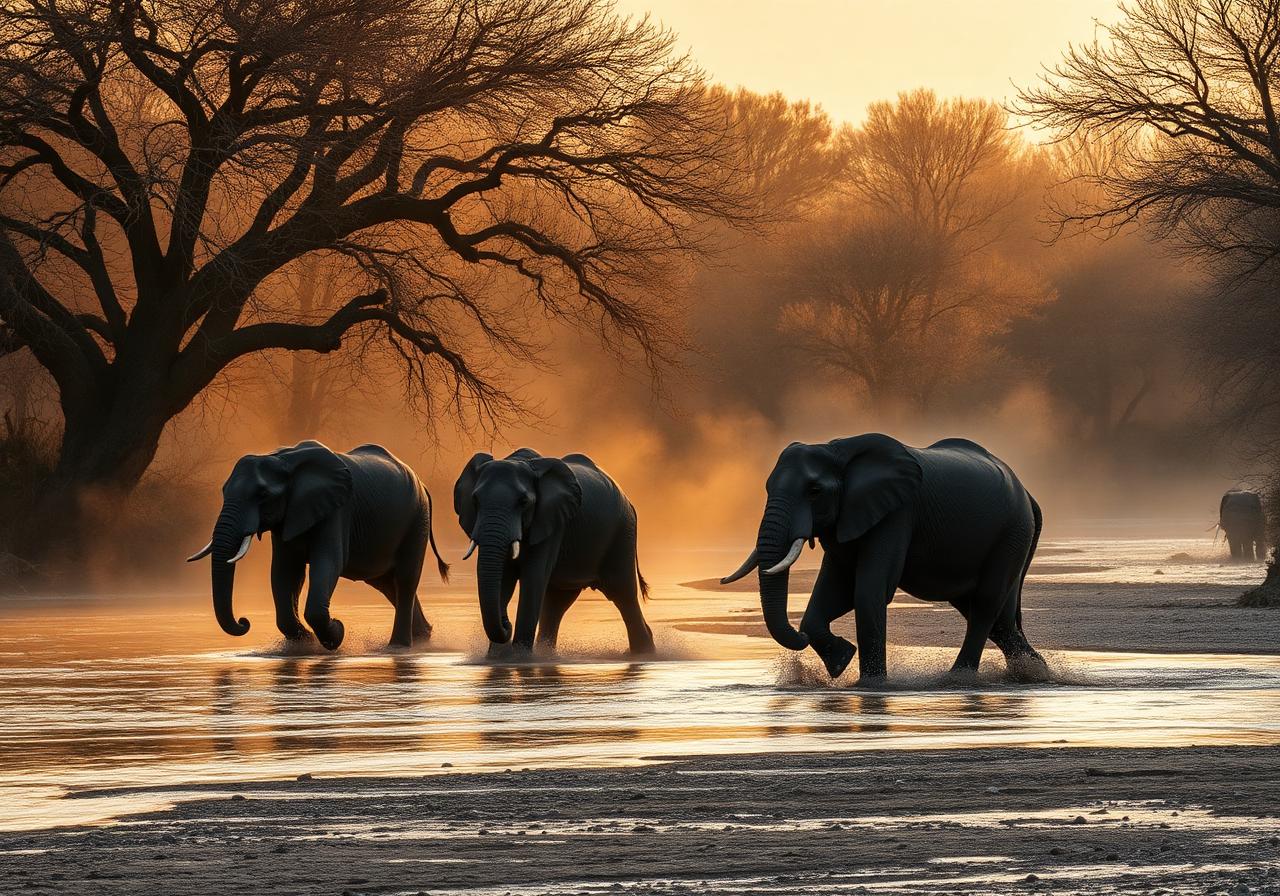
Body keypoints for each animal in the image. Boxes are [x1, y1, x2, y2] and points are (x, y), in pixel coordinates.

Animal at [187, 441, 449, 650]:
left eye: (262, 494)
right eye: (223, 491)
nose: (244, 621)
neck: (282, 458)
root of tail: (422, 484)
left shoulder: (337, 510)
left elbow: (328, 563)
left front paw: (337, 632)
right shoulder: (288, 516)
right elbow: (285, 572)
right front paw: (306, 641)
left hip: (417, 520)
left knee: (404, 580)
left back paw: (398, 647)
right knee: (386, 584)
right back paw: (423, 637)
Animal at [453, 448, 655, 655]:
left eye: (523, 501)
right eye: (475, 500)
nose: (506, 624)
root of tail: (629, 501)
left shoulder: (552, 523)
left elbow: (533, 579)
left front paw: (518, 657)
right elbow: (504, 579)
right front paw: (498, 657)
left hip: (622, 535)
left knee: (623, 594)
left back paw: (643, 653)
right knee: (557, 603)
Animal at [722, 434, 1047, 682]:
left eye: (814, 491)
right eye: (766, 488)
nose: (798, 640)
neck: (836, 450)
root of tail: (1028, 494)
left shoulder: (897, 513)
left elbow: (867, 593)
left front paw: (871, 684)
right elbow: (834, 594)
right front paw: (841, 662)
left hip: (1011, 534)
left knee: (984, 606)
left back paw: (958, 677)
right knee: (998, 620)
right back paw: (1034, 672)